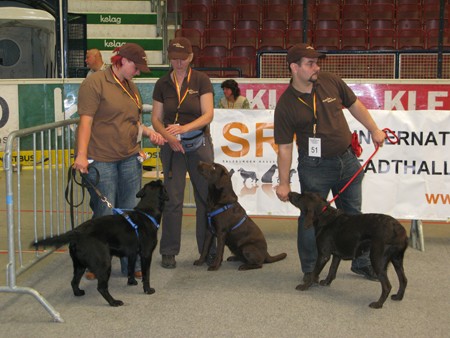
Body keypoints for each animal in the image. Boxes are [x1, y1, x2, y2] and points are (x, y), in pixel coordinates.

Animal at [32, 181, 168, 308]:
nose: (161, 179)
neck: (147, 212)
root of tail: (77, 232)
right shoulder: (146, 254)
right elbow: (146, 275)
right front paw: (148, 290)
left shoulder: (132, 254)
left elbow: (130, 268)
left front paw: (132, 282)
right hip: (104, 263)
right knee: (101, 287)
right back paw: (114, 302)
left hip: (79, 265)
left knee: (74, 281)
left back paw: (78, 293)